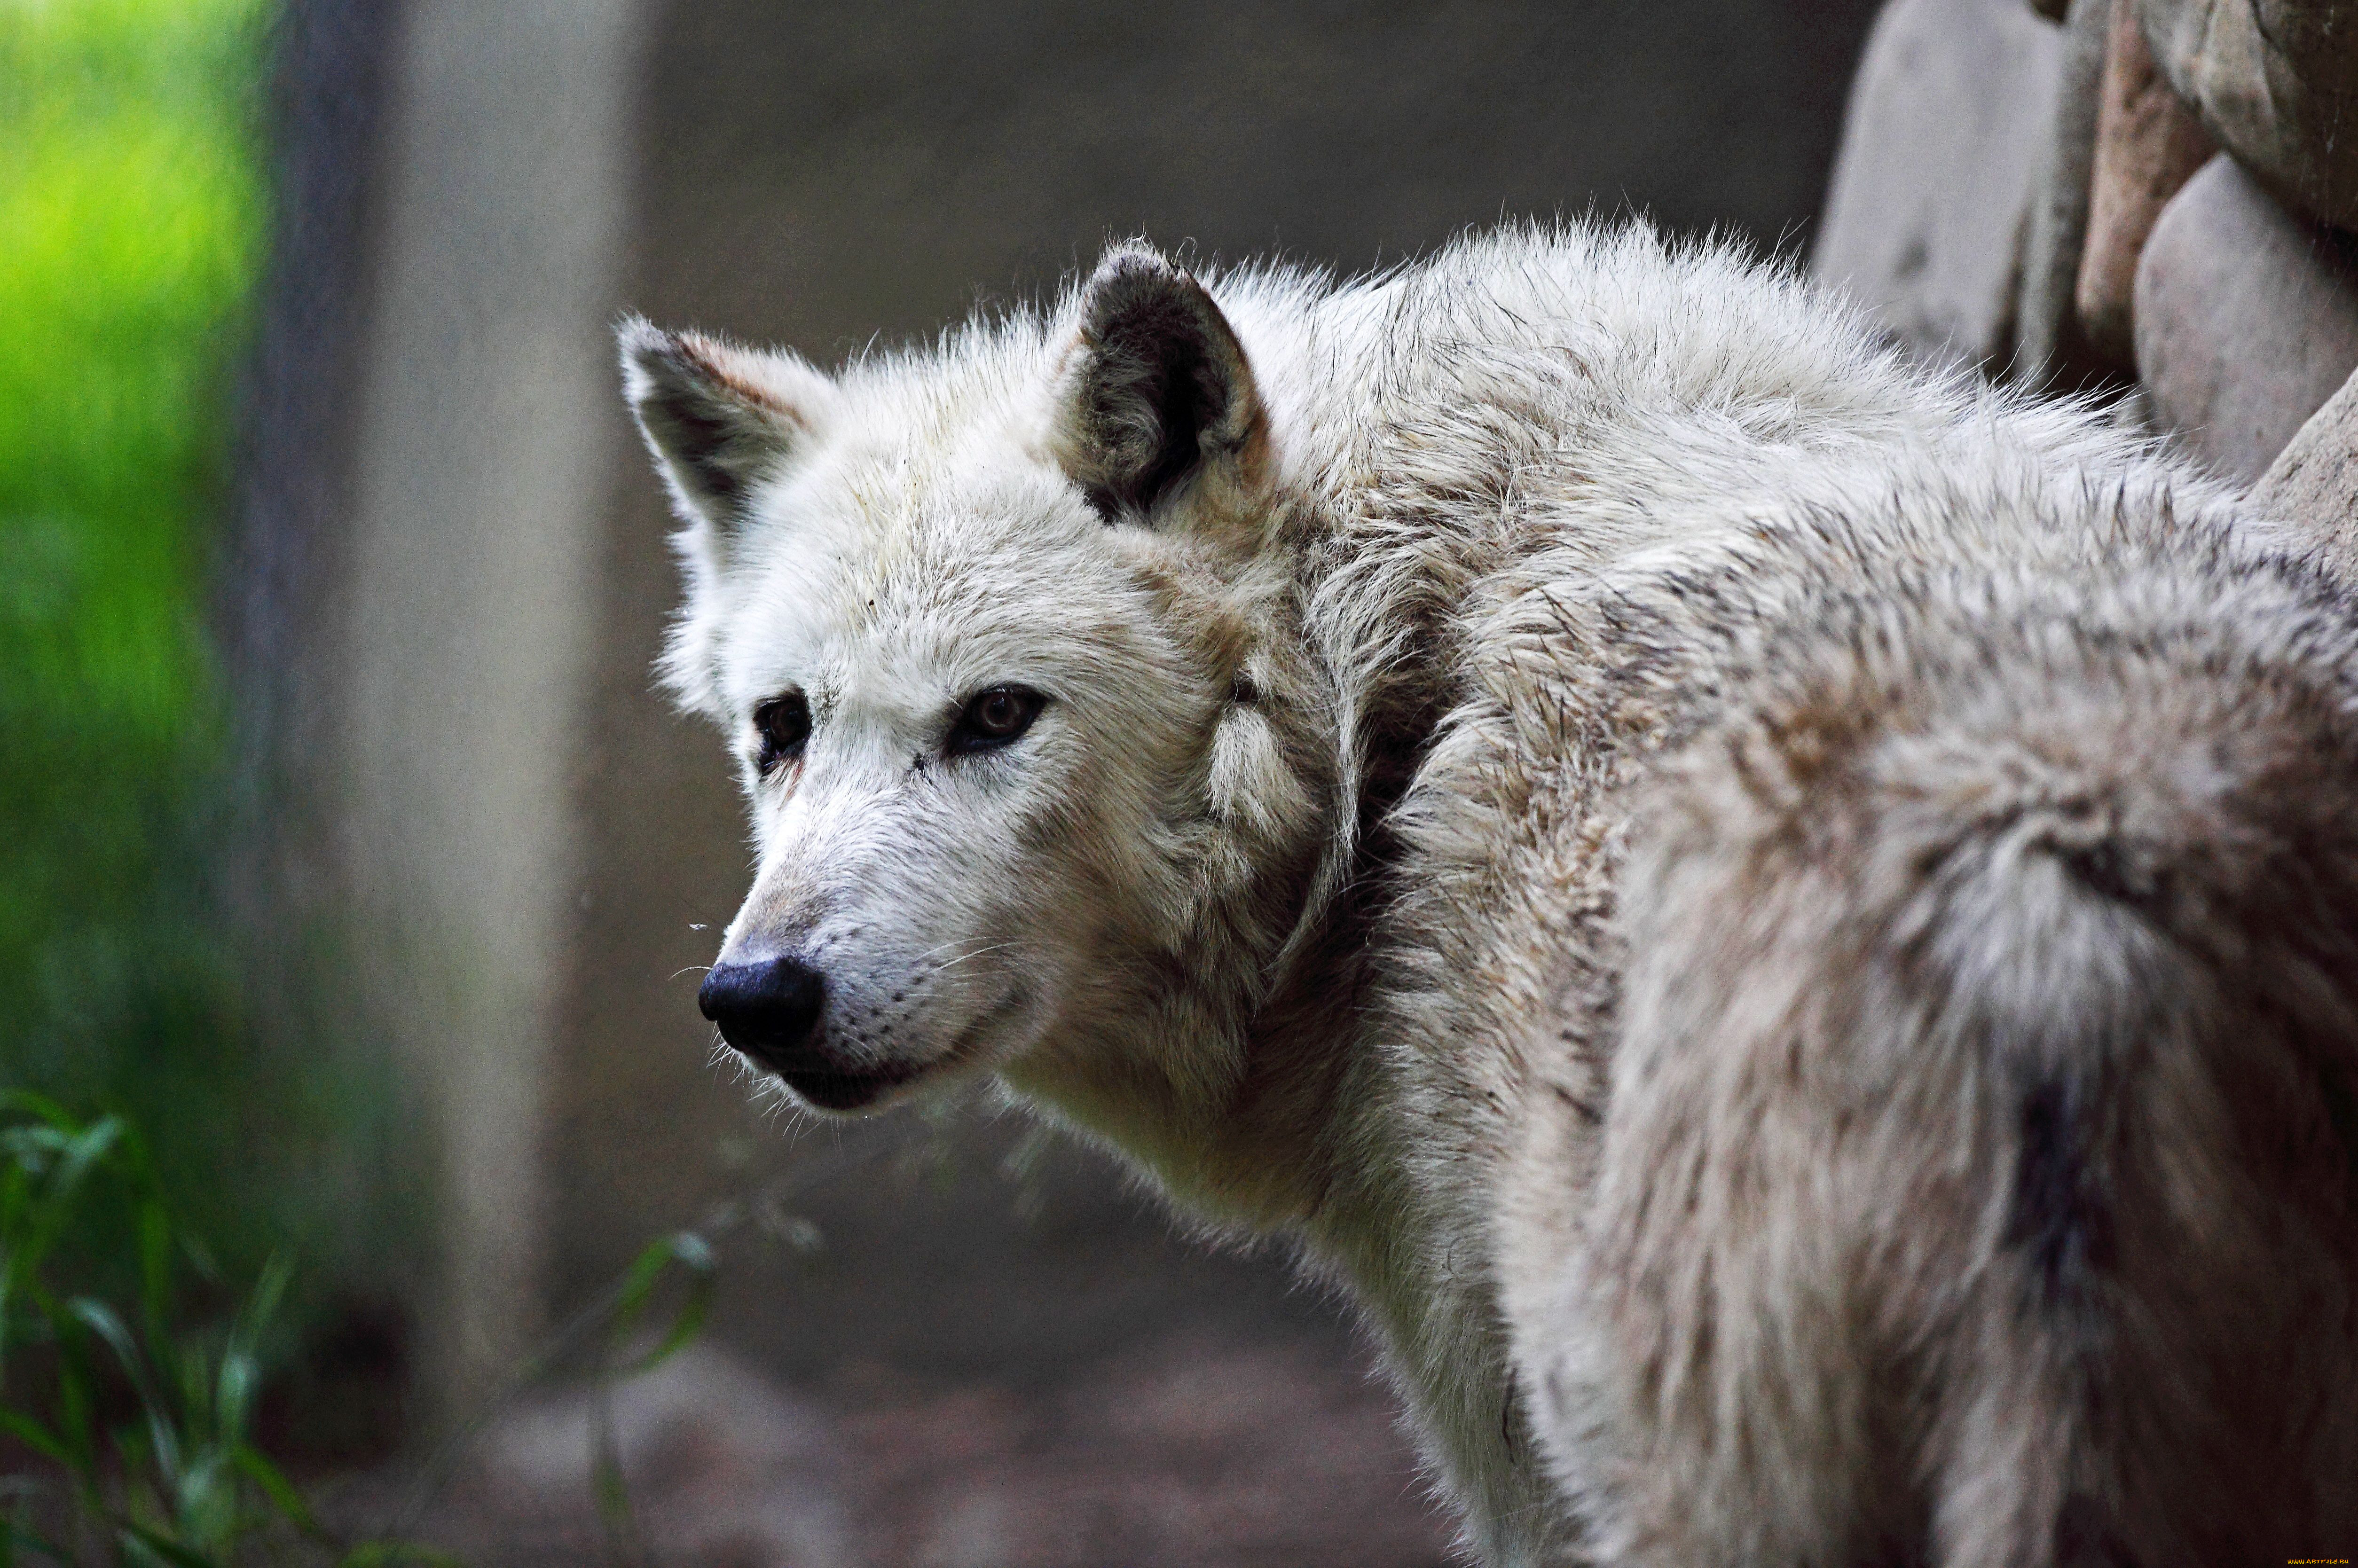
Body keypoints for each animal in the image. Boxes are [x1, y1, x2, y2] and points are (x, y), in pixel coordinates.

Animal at [622, 223, 2358, 1565]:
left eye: (995, 716)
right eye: (782, 727)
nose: (755, 997)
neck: (1385, 693)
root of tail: (2053, 878)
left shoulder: (1505, 1436)